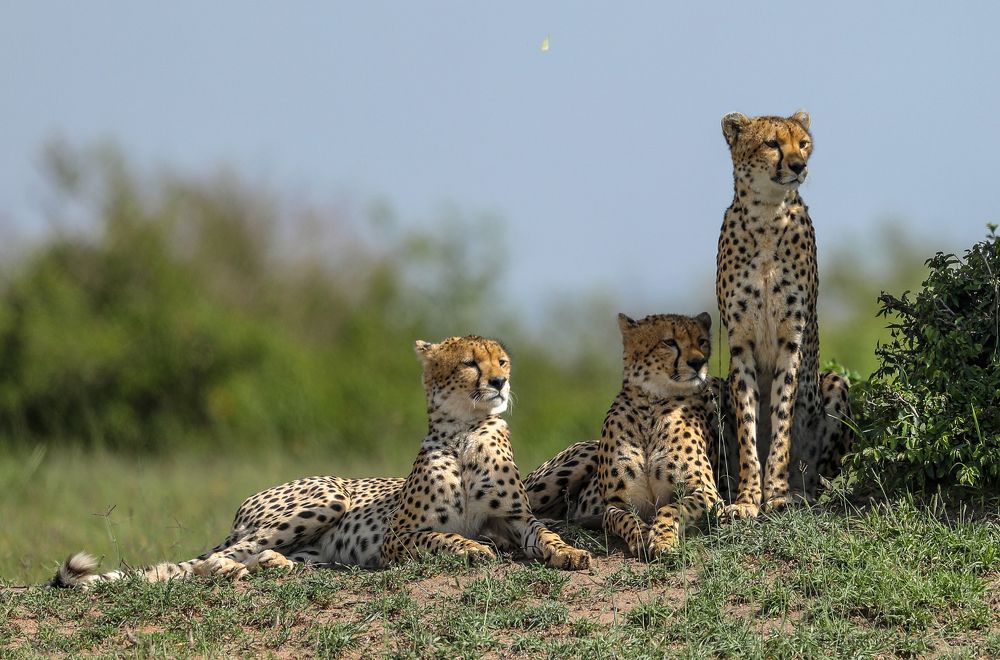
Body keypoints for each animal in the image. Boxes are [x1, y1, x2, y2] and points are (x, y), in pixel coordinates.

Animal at [48, 335, 591, 587]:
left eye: (502, 360)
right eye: (470, 363)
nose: (500, 382)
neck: (465, 432)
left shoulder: (513, 519)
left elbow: (543, 534)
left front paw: (570, 553)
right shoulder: (398, 539)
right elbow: (441, 536)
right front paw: (472, 547)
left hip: (314, 539)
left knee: (266, 556)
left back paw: (279, 566)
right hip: (327, 497)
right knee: (214, 559)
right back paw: (232, 569)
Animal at [525, 312, 724, 559]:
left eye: (702, 341)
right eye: (669, 342)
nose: (698, 363)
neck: (652, 404)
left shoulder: (708, 493)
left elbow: (671, 508)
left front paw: (662, 539)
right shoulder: (616, 504)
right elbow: (625, 518)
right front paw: (642, 536)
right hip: (580, 458)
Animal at [715, 109, 852, 520]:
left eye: (803, 143)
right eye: (772, 143)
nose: (798, 165)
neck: (766, 216)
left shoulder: (791, 340)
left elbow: (782, 417)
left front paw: (775, 493)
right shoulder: (740, 342)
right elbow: (748, 424)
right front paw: (747, 498)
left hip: (835, 383)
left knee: (820, 471)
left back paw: (803, 489)